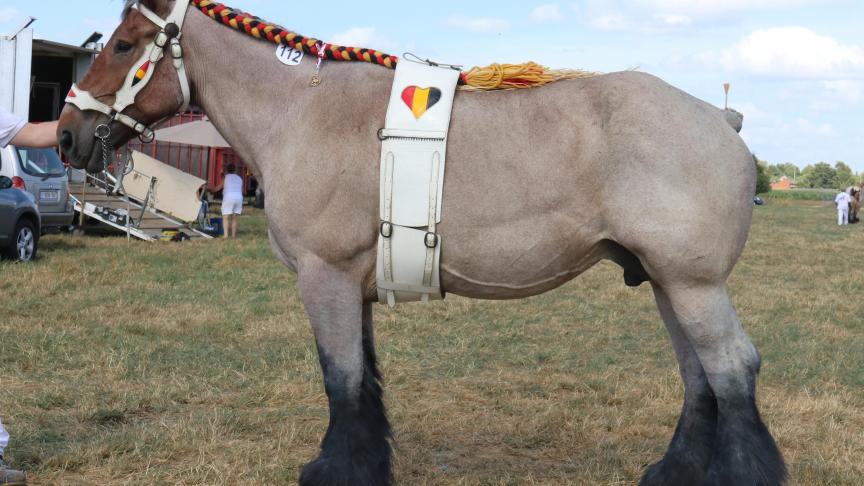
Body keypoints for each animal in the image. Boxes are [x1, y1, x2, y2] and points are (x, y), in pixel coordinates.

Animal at [54, 1, 788, 484]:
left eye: (124, 46)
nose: (64, 134)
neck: (303, 111)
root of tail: (720, 116)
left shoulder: (323, 278)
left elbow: (342, 380)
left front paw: (336, 471)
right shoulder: (352, 286)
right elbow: (364, 381)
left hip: (693, 285)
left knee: (733, 369)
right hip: (666, 283)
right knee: (700, 378)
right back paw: (673, 471)